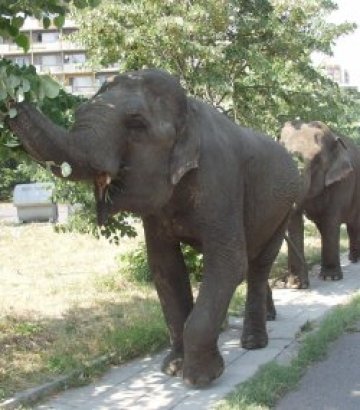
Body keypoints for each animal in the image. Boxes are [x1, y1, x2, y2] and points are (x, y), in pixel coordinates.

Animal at [8, 69, 300, 386]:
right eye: (80, 111)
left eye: (136, 123)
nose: (12, 95)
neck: (189, 114)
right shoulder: (158, 213)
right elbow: (165, 268)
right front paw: (173, 369)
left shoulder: (220, 181)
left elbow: (227, 263)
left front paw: (200, 378)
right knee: (250, 263)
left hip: (284, 210)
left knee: (258, 265)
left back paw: (254, 343)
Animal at [280, 121, 360, 288]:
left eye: (316, 159)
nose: (285, 280)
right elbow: (295, 221)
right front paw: (297, 285)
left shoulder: (343, 181)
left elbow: (331, 219)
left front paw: (331, 278)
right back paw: (353, 259)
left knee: (353, 225)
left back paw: (354, 260)